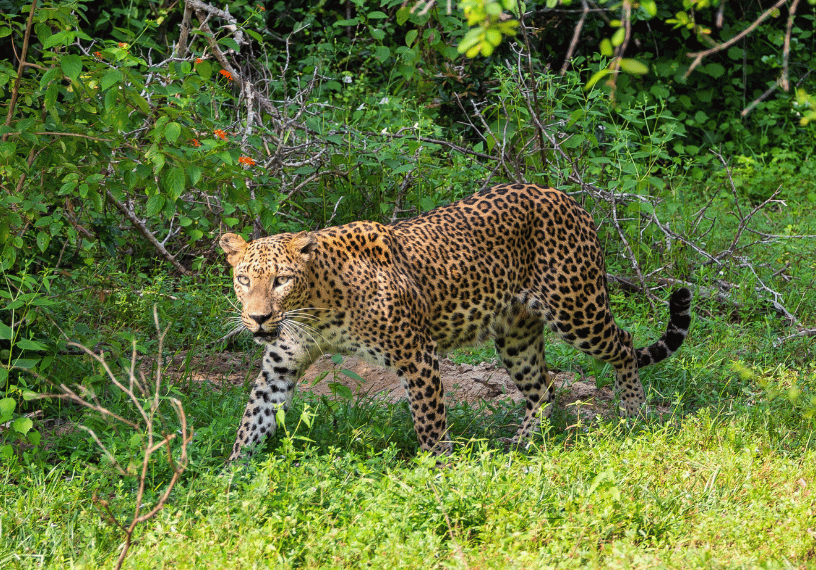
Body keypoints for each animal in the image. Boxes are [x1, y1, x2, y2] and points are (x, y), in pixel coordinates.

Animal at [220, 183, 691, 461]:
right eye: (243, 279)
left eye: (281, 280)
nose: (258, 318)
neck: (316, 308)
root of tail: (568, 198)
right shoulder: (279, 366)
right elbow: (253, 419)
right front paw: (230, 479)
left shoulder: (416, 356)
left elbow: (429, 421)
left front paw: (439, 471)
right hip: (516, 335)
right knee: (544, 387)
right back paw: (521, 446)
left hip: (576, 308)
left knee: (625, 343)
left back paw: (634, 414)